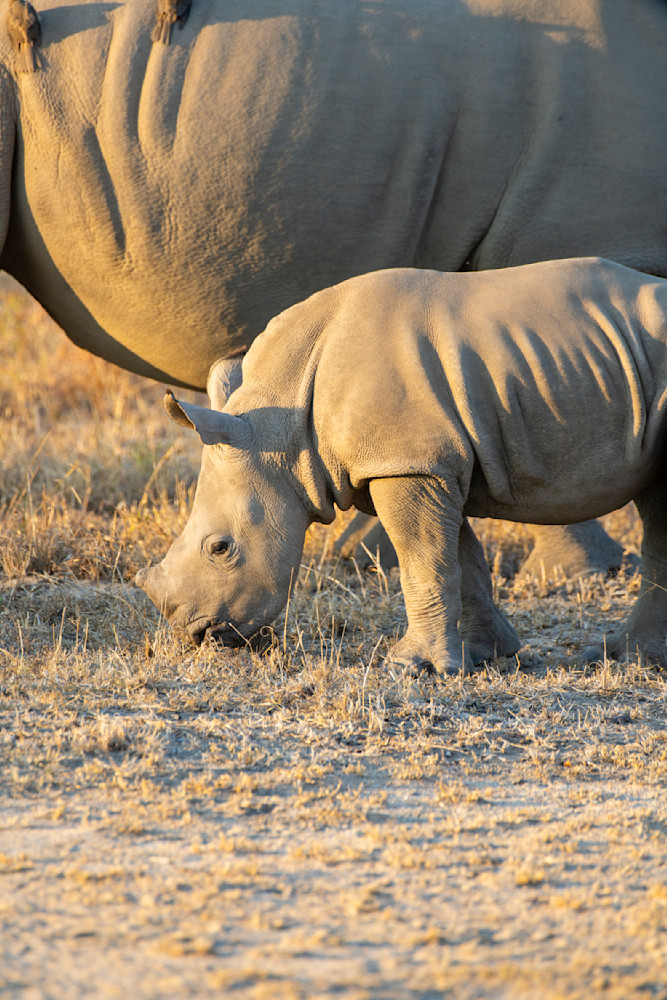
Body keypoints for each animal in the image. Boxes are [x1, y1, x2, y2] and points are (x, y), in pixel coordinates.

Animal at [136, 258, 667, 675]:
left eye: (220, 548)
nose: (195, 634)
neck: (282, 433)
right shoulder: (421, 462)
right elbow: (461, 560)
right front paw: (486, 656)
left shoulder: (406, 465)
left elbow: (422, 559)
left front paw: (413, 667)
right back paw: (630, 659)